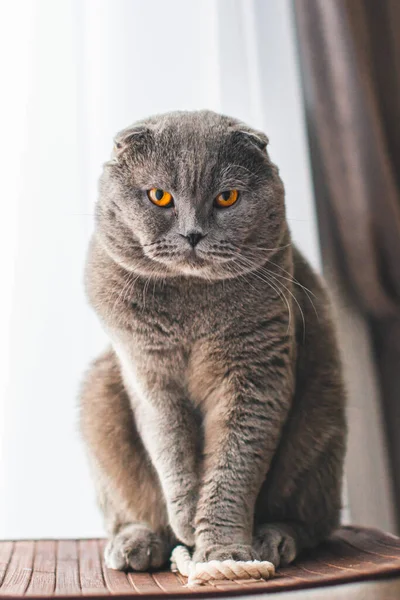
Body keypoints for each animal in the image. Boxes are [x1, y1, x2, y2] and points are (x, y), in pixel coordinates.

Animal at [79, 110, 346, 576]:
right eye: (159, 196)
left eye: (227, 198)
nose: (193, 234)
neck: (192, 307)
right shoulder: (147, 374)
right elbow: (170, 449)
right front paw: (187, 521)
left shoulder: (256, 375)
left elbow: (231, 468)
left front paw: (224, 553)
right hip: (99, 396)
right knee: (131, 506)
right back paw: (137, 543)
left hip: (321, 409)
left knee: (314, 520)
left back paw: (274, 538)